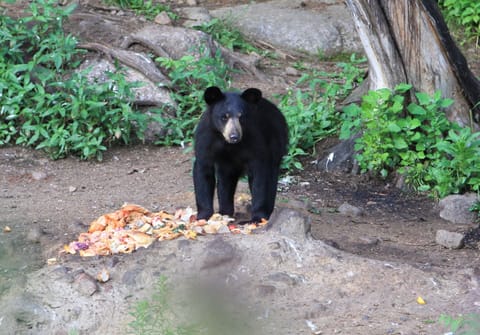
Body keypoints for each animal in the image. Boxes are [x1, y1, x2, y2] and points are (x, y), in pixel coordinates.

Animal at [193, 86, 286, 223]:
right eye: (224, 117)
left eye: (241, 117)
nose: (234, 136)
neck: (227, 143)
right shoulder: (205, 139)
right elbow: (203, 171)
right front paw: (203, 216)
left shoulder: (256, 142)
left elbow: (260, 177)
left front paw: (257, 217)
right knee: (225, 180)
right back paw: (225, 212)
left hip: (276, 143)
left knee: (272, 176)